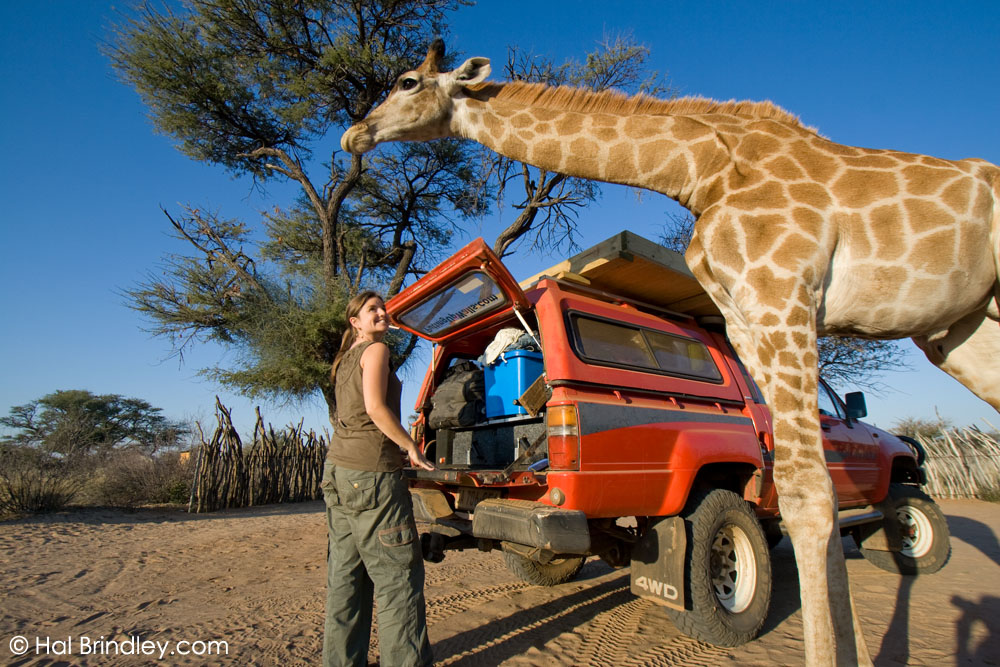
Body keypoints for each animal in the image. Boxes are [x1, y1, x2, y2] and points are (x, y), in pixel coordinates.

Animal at [342, 41, 1000, 667]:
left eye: (407, 82)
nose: (354, 134)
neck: (708, 169)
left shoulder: (783, 295)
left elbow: (817, 496)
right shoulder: (749, 314)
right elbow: (811, 492)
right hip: (961, 332)